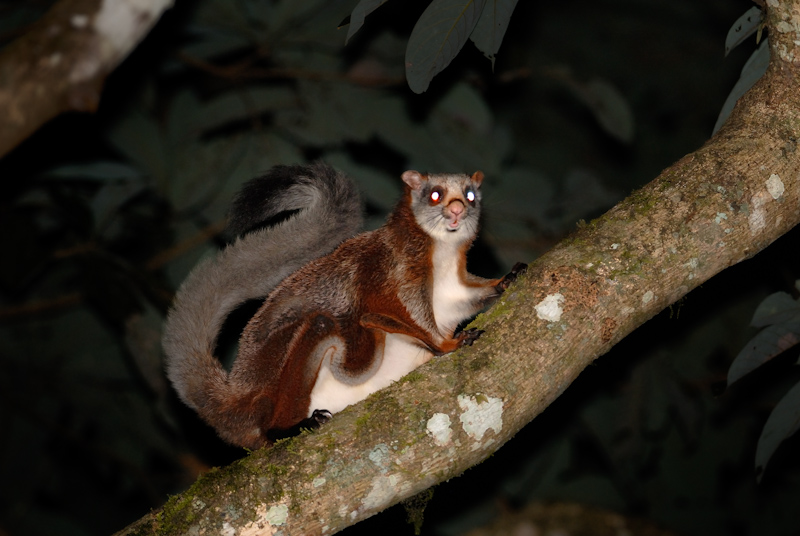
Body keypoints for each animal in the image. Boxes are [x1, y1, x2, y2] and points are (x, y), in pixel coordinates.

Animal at [162, 162, 524, 448]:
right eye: (435, 195)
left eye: (470, 195)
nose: (458, 209)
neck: (440, 250)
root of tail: (239, 396)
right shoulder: (397, 269)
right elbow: (397, 314)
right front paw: (447, 345)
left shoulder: (450, 288)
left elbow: (464, 299)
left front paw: (504, 281)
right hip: (281, 381)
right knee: (322, 324)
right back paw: (286, 428)